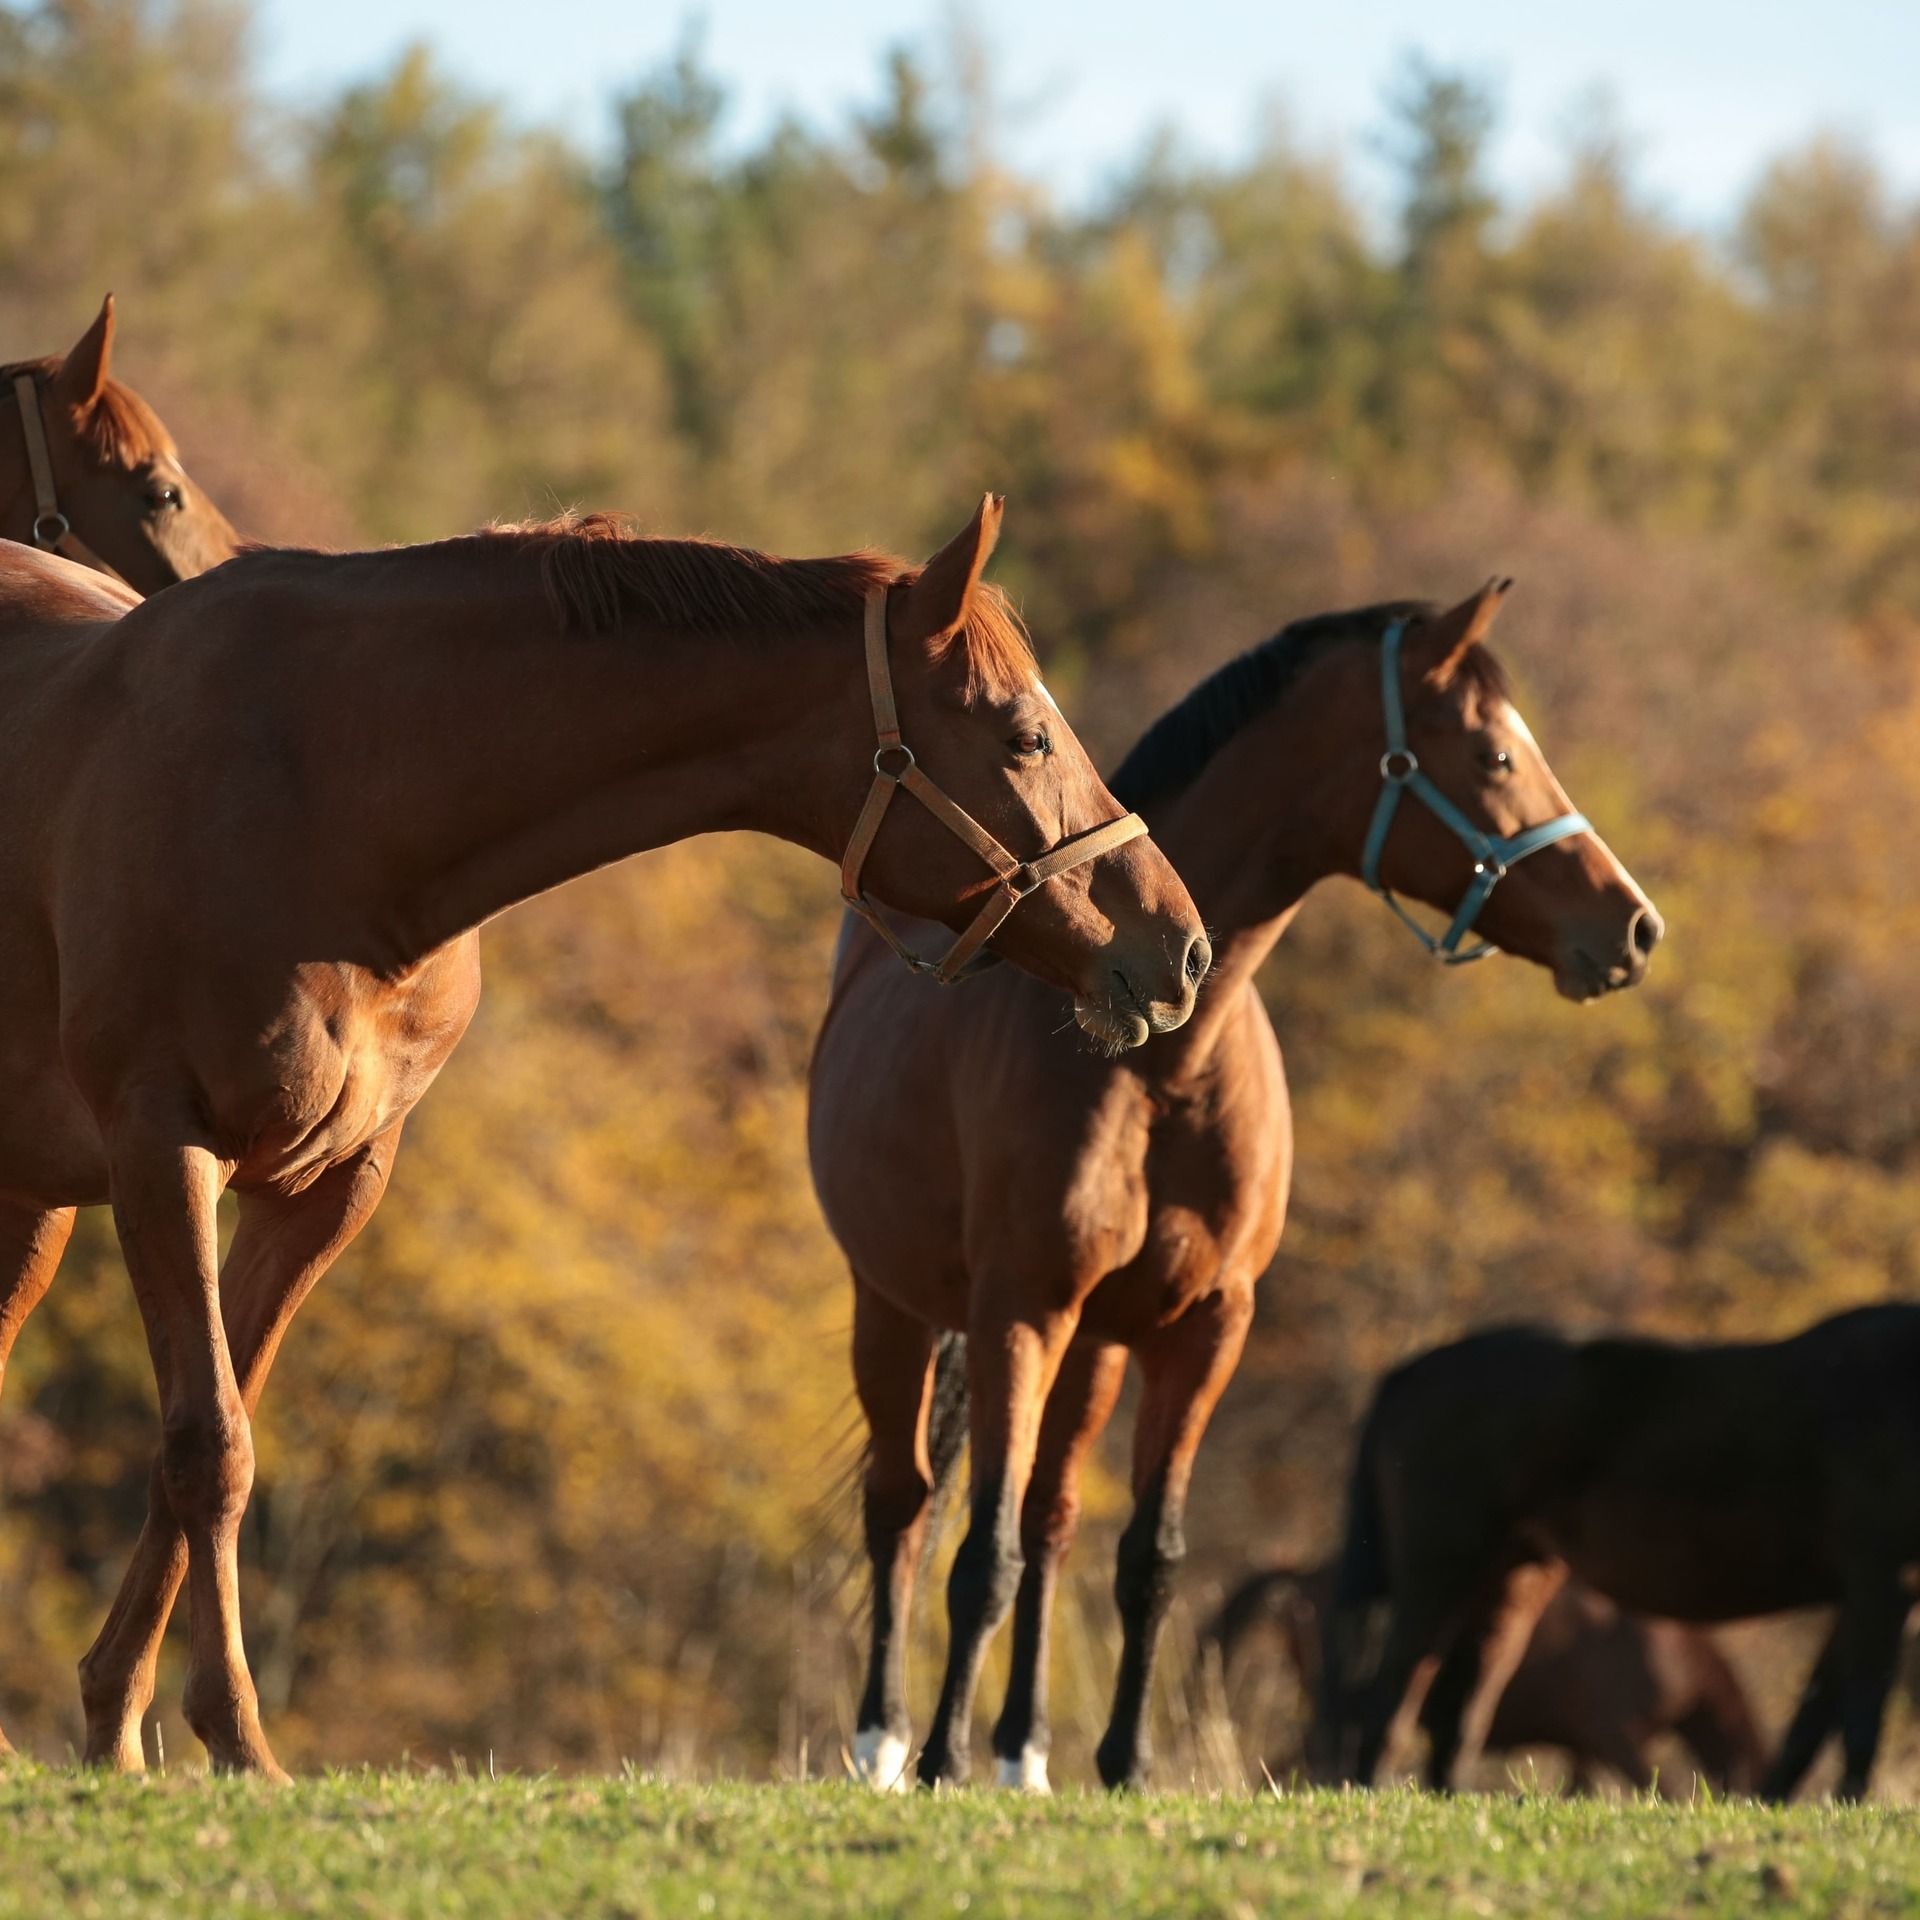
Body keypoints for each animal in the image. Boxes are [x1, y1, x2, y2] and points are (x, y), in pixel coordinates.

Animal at [0, 487, 1205, 1774]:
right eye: (1026, 736)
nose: (1179, 946)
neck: (323, 792)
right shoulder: (162, 1148)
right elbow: (209, 1447)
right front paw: (230, 1736)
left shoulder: (326, 1188)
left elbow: (207, 1439)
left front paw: (121, 1723)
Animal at [1320, 1305, 1920, 1797]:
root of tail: (1408, 1372)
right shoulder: (1883, 1579)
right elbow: (1862, 1711)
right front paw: (1852, 1802)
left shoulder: (1860, 1594)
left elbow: (1812, 1720)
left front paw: (1779, 1803)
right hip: (1439, 1567)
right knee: (1392, 1689)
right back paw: (1371, 1786)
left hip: (1507, 1576)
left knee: (1459, 1701)